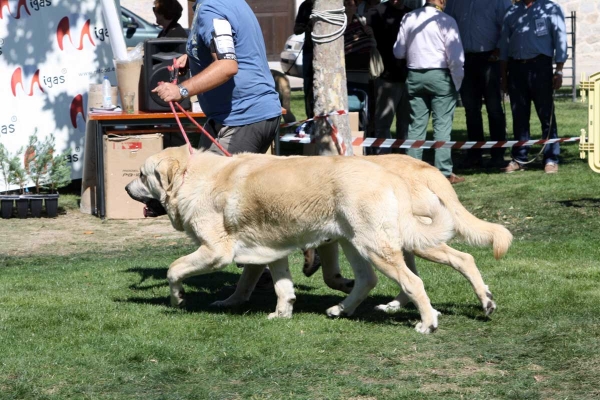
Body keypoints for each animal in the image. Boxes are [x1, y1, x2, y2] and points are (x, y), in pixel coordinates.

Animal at [126, 145, 454, 332]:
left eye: (142, 175)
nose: (127, 188)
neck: (190, 178)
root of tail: (391, 176)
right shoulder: (272, 251)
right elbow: (282, 286)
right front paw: (282, 313)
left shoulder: (216, 252)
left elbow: (174, 269)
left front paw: (178, 298)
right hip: (354, 244)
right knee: (366, 280)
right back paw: (341, 309)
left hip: (374, 247)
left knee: (413, 282)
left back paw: (427, 323)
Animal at [223, 154, 512, 318]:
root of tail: (424, 166)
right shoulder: (333, 240)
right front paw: (232, 300)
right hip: (397, 242)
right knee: (411, 276)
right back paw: (394, 306)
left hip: (415, 241)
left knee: (462, 259)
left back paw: (484, 301)